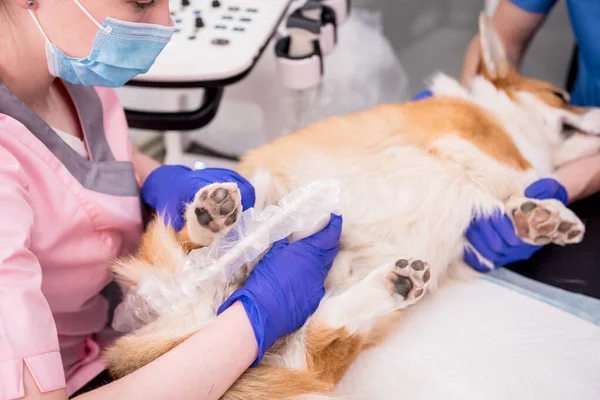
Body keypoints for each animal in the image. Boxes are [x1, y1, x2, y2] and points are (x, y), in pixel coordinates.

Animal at [104, 13, 600, 400]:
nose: (595, 105)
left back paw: (393, 282)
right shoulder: (473, 141)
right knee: (195, 240)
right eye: (561, 96)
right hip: (214, 227)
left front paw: (541, 221)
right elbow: (516, 173)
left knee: (325, 326)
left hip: (305, 338)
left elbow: (514, 198)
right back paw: (214, 212)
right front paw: (546, 210)